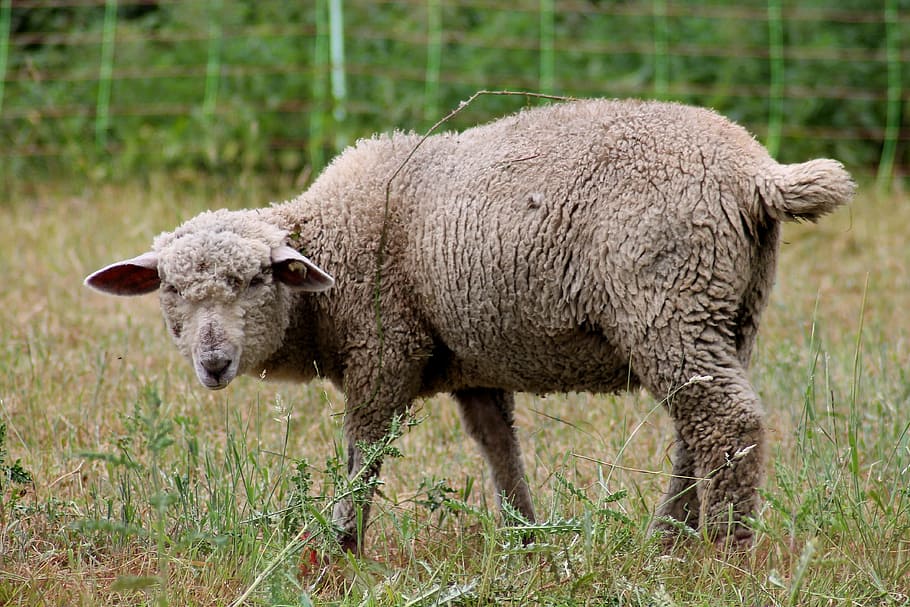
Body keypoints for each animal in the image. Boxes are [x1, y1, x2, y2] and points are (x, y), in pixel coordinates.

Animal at [85, 98, 855, 553]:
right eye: (170, 288)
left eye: (255, 280)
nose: (214, 363)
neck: (331, 254)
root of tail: (757, 172)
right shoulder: (469, 362)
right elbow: (497, 446)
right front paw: (525, 535)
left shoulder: (385, 348)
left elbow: (363, 452)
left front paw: (340, 545)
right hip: (729, 309)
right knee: (700, 431)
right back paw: (669, 540)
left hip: (667, 300)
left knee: (726, 420)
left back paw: (723, 551)